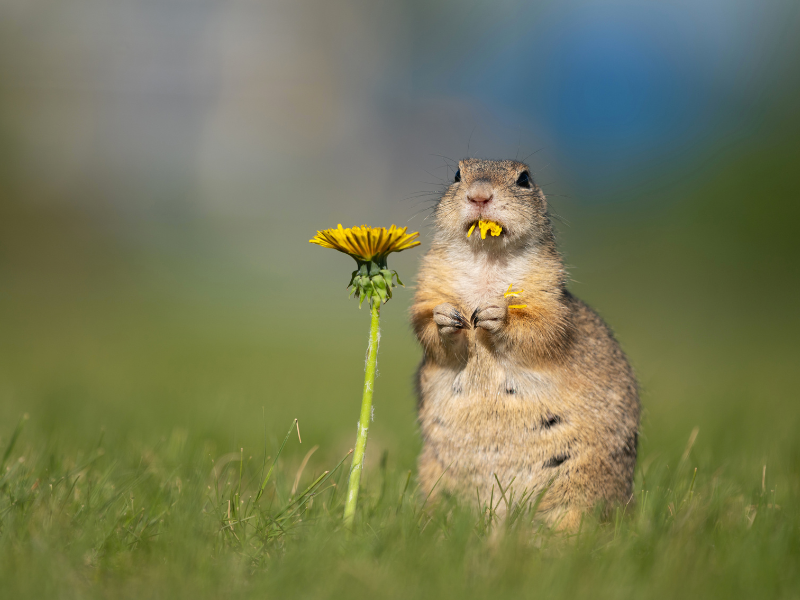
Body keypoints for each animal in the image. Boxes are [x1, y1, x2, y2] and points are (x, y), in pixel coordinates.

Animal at [410, 158, 640, 528]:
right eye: (457, 175)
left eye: (524, 179)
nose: (479, 195)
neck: (486, 263)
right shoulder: (429, 286)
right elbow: (425, 322)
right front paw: (445, 317)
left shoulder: (547, 294)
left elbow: (542, 328)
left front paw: (497, 314)